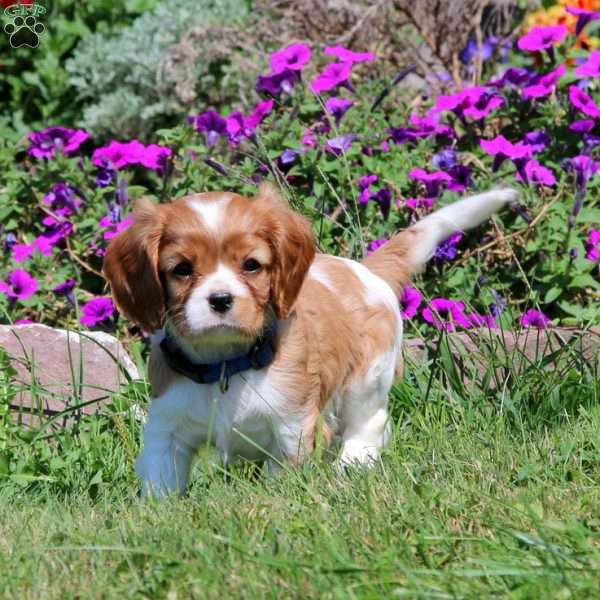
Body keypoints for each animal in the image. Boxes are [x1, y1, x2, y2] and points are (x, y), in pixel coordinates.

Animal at [103, 184, 516, 496]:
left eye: (251, 265)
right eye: (182, 270)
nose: (220, 299)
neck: (225, 364)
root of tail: (366, 270)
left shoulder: (293, 425)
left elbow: (282, 477)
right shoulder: (166, 428)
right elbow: (161, 479)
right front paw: (158, 512)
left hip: (367, 378)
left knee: (371, 421)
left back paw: (353, 463)